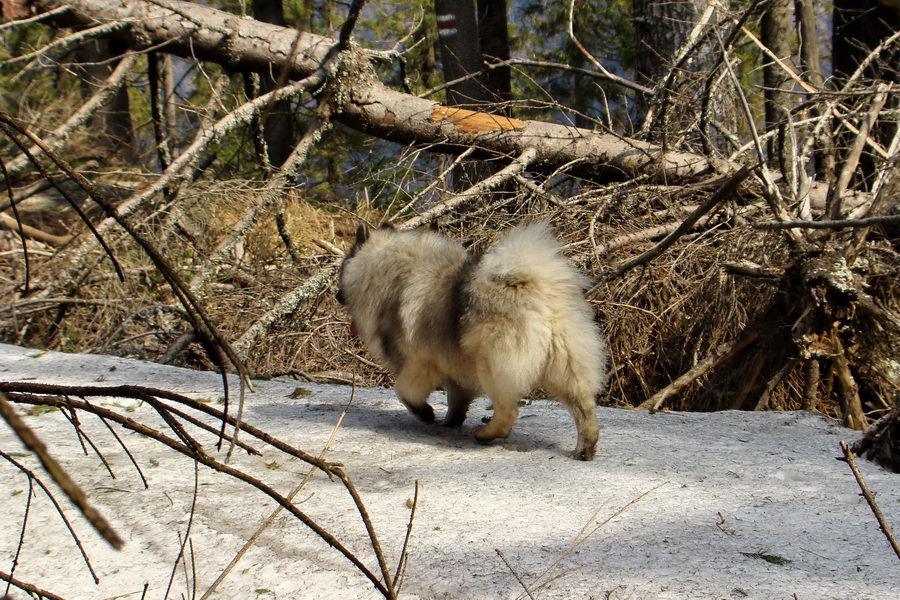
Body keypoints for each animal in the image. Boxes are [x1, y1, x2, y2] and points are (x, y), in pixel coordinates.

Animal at [340, 220, 612, 460]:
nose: (336, 295)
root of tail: (535, 290)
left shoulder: (419, 364)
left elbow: (403, 391)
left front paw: (425, 414)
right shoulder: (455, 374)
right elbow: (456, 400)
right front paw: (451, 421)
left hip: (493, 367)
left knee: (509, 411)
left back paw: (485, 434)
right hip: (565, 364)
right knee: (583, 408)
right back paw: (584, 450)